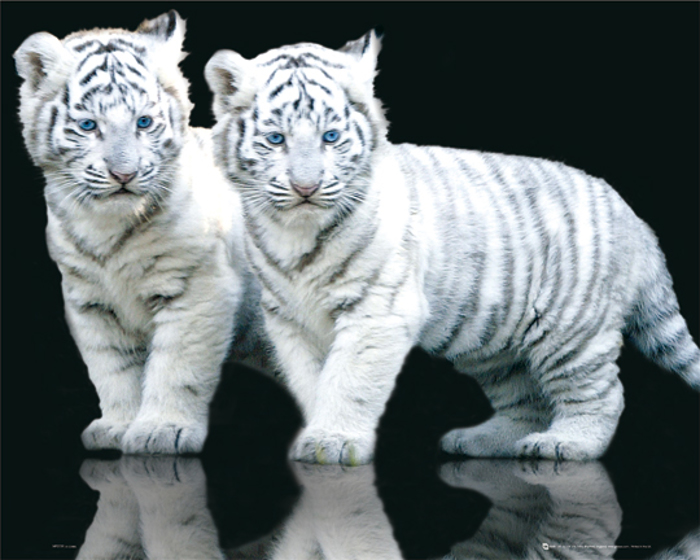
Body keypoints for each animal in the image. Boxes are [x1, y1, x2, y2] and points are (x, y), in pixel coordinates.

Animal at [14, 11, 263, 454]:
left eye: (144, 123)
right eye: (88, 126)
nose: (124, 175)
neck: (107, 228)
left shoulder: (198, 287)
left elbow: (177, 363)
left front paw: (162, 430)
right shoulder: (88, 300)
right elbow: (111, 367)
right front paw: (117, 426)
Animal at [205, 30, 700, 465]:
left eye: (330, 138)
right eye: (276, 140)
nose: (305, 188)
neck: (296, 233)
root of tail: (634, 219)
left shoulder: (377, 312)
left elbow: (349, 380)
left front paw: (335, 441)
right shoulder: (290, 319)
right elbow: (313, 381)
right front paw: (318, 432)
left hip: (571, 329)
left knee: (601, 393)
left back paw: (567, 444)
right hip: (496, 344)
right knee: (526, 399)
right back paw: (481, 440)